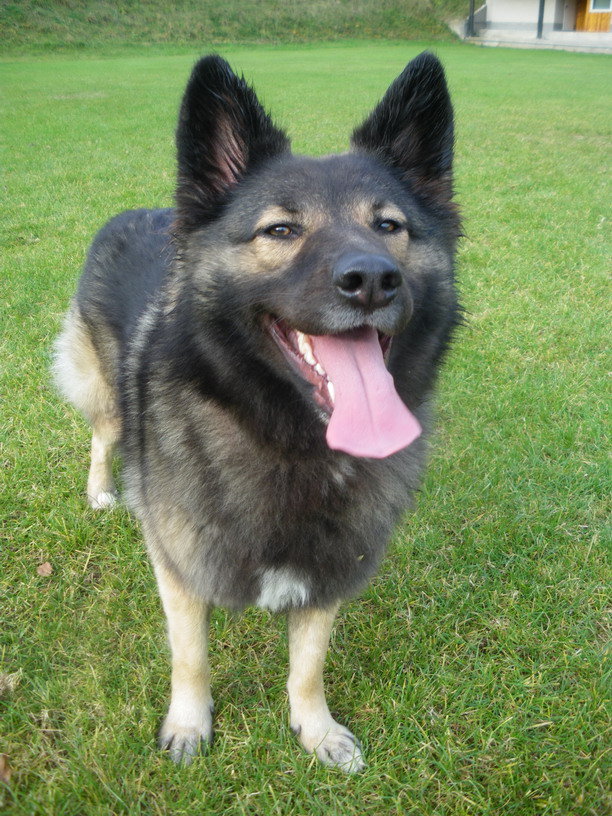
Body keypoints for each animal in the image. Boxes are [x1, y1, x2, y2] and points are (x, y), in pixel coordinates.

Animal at [53, 52, 460, 772]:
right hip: (103, 392)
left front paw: (316, 731)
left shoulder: (329, 575)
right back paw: (102, 491)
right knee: (104, 436)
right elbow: (190, 658)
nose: (373, 280)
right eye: (281, 230)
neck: (289, 438)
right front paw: (189, 725)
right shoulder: (180, 569)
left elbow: (308, 668)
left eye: (388, 226)